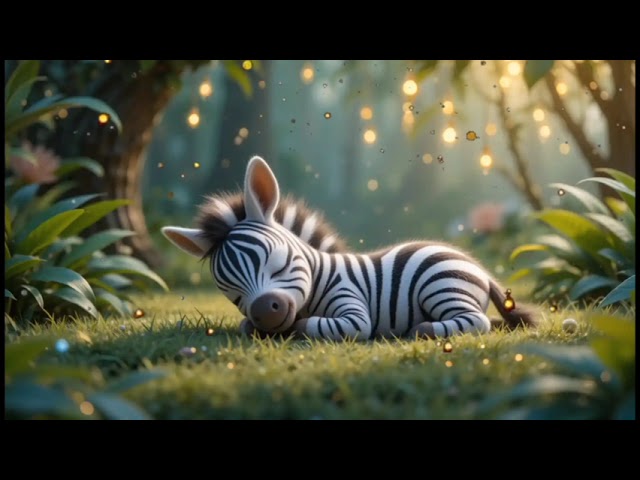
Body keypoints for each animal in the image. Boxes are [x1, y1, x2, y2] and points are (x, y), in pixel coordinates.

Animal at [162, 156, 538, 340]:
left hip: (442, 287)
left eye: (278, 263)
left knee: (477, 322)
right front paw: (257, 327)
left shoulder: (353, 309)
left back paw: (424, 330)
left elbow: (314, 327)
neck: (319, 277)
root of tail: (478, 268)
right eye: (232, 292)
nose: (264, 312)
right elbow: (245, 326)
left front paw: (292, 327)